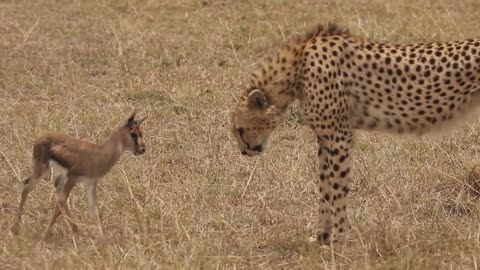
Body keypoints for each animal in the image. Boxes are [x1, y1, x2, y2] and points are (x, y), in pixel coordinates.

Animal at [228, 22, 480, 244]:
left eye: (240, 129)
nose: (244, 152)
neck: (296, 68)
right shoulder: (325, 138)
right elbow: (325, 186)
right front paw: (322, 236)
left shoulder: (339, 136)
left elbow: (338, 187)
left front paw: (340, 238)